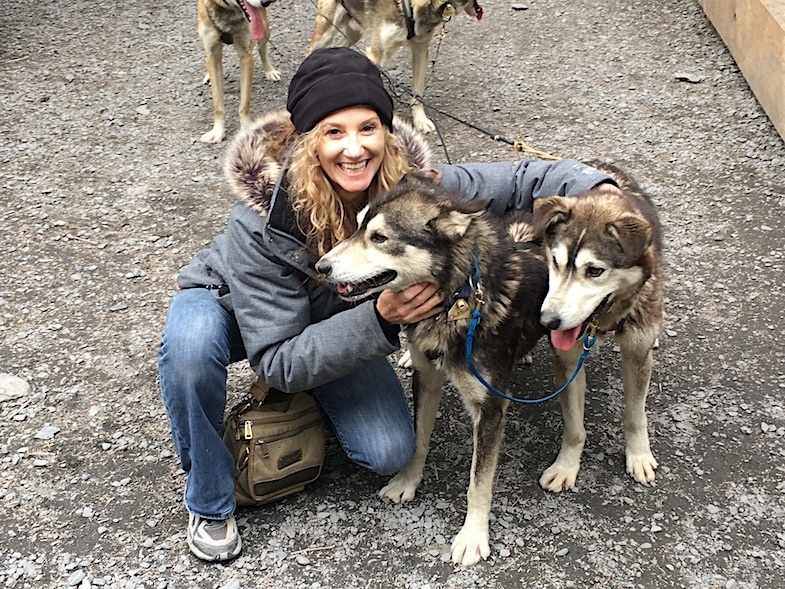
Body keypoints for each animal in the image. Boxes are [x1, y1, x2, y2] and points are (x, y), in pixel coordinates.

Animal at [198, 0, 280, 142]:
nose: (267, 2)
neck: (228, 10)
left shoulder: (246, 56)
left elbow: (244, 104)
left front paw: (246, 129)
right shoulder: (213, 53)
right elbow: (217, 104)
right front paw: (218, 131)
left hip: (264, 27)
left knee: (262, 48)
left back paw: (270, 70)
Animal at [308, 0, 480, 133]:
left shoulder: (421, 49)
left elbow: (418, 92)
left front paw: (419, 120)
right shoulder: (377, 55)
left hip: (354, 31)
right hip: (326, 29)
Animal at [316, 178, 548, 564]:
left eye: (379, 237)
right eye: (358, 225)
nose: (321, 267)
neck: (457, 300)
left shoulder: (490, 407)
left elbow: (478, 481)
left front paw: (473, 536)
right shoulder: (426, 379)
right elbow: (418, 439)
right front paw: (406, 483)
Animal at [532, 163, 660, 494]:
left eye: (595, 271)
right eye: (555, 261)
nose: (548, 322)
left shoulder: (636, 355)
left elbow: (635, 416)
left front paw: (639, 455)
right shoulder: (567, 361)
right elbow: (574, 426)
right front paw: (566, 466)